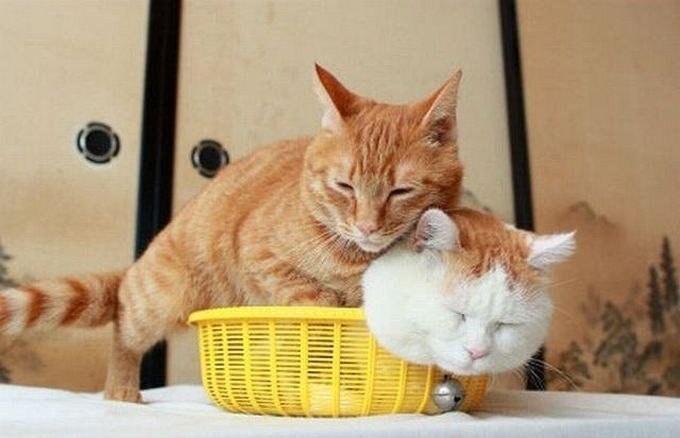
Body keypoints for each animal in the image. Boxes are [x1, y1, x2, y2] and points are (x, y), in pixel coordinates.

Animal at [0, 65, 464, 403]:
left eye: (402, 191)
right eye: (344, 186)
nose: (367, 226)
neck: (360, 260)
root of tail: (138, 262)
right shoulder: (257, 253)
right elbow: (313, 301)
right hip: (158, 296)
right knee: (124, 325)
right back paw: (121, 390)